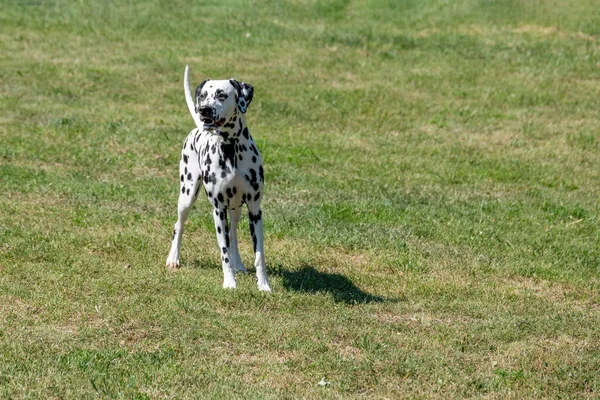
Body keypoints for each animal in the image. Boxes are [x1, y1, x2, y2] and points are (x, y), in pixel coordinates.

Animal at [168, 65, 274, 290]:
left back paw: (239, 264)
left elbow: (259, 254)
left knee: (233, 235)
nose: (204, 110)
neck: (230, 148)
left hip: (236, 210)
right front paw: (229, 283)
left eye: (222, 94)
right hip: (187, 195)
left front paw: (263, 285)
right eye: (203, 95)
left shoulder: (254, 210)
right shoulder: (219, 210)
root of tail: (198, 127)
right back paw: (173, 258)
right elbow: (223, 252)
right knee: (178, 226)